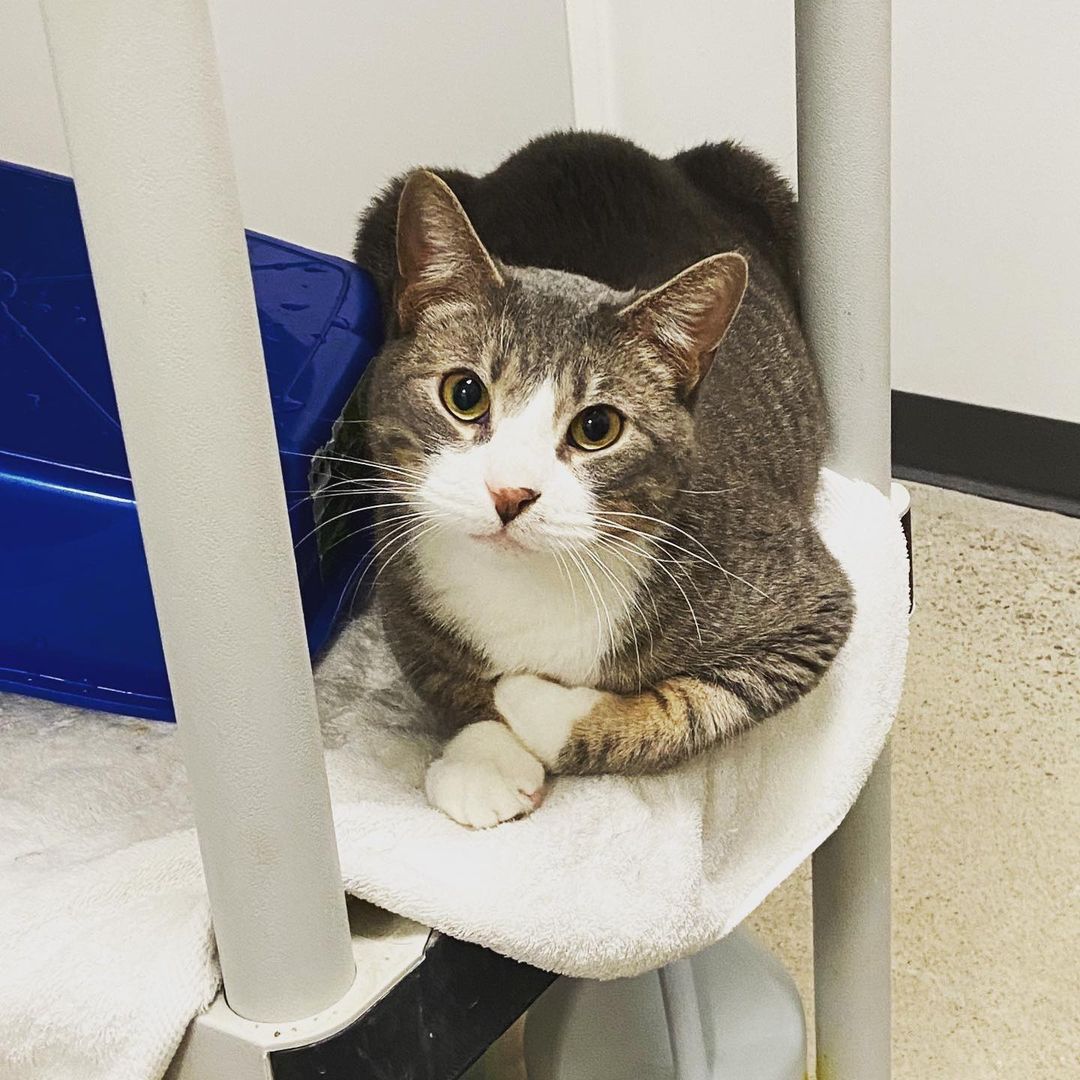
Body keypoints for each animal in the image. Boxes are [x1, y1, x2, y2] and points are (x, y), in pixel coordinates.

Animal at [332, 132, 855, 825]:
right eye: (464, 393)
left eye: (597, 427)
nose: (510, 494)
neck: (524, 585)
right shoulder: (397, 574)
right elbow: (441, 673)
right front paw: (483, 757)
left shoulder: (801, 600)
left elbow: (694, 709)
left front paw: (532, 704)